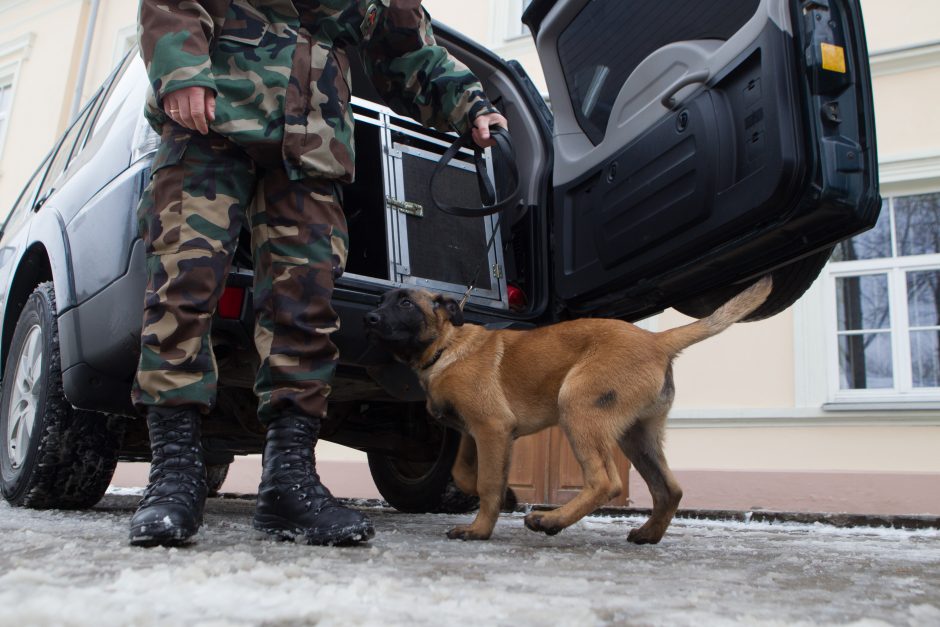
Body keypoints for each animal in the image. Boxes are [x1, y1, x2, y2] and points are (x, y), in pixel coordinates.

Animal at [362, 278, 772, 544]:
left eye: (405, 303)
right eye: (382, 302)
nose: (370, 319)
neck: (446, 346)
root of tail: (656, 339)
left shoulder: (492, 427)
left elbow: (487, 483)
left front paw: (479, 529)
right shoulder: (474, 432)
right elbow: (464, 473)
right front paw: (508, 498)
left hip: (577, 408)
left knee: (606, 482)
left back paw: (550, 521)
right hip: (637, 435)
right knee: (668, 488)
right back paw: (647, 534)